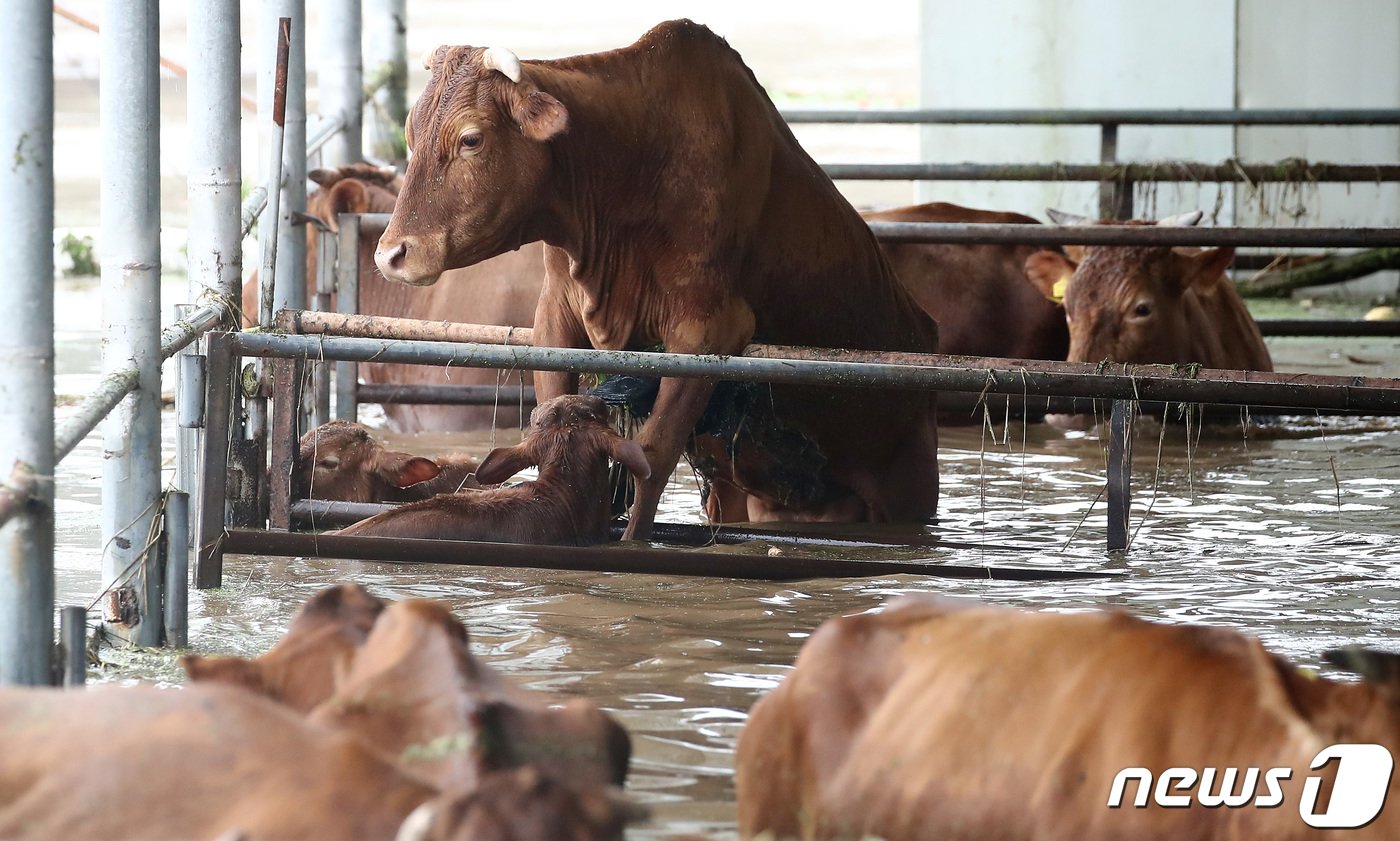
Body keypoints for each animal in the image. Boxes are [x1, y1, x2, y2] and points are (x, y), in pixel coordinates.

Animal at [372, 22, 940, 540]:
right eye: (411, 134)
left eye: (471, 138)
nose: (391, 254)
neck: (633, 163)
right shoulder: (556, 314)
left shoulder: (706, 331)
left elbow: (653, 455)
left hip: (909, 480)